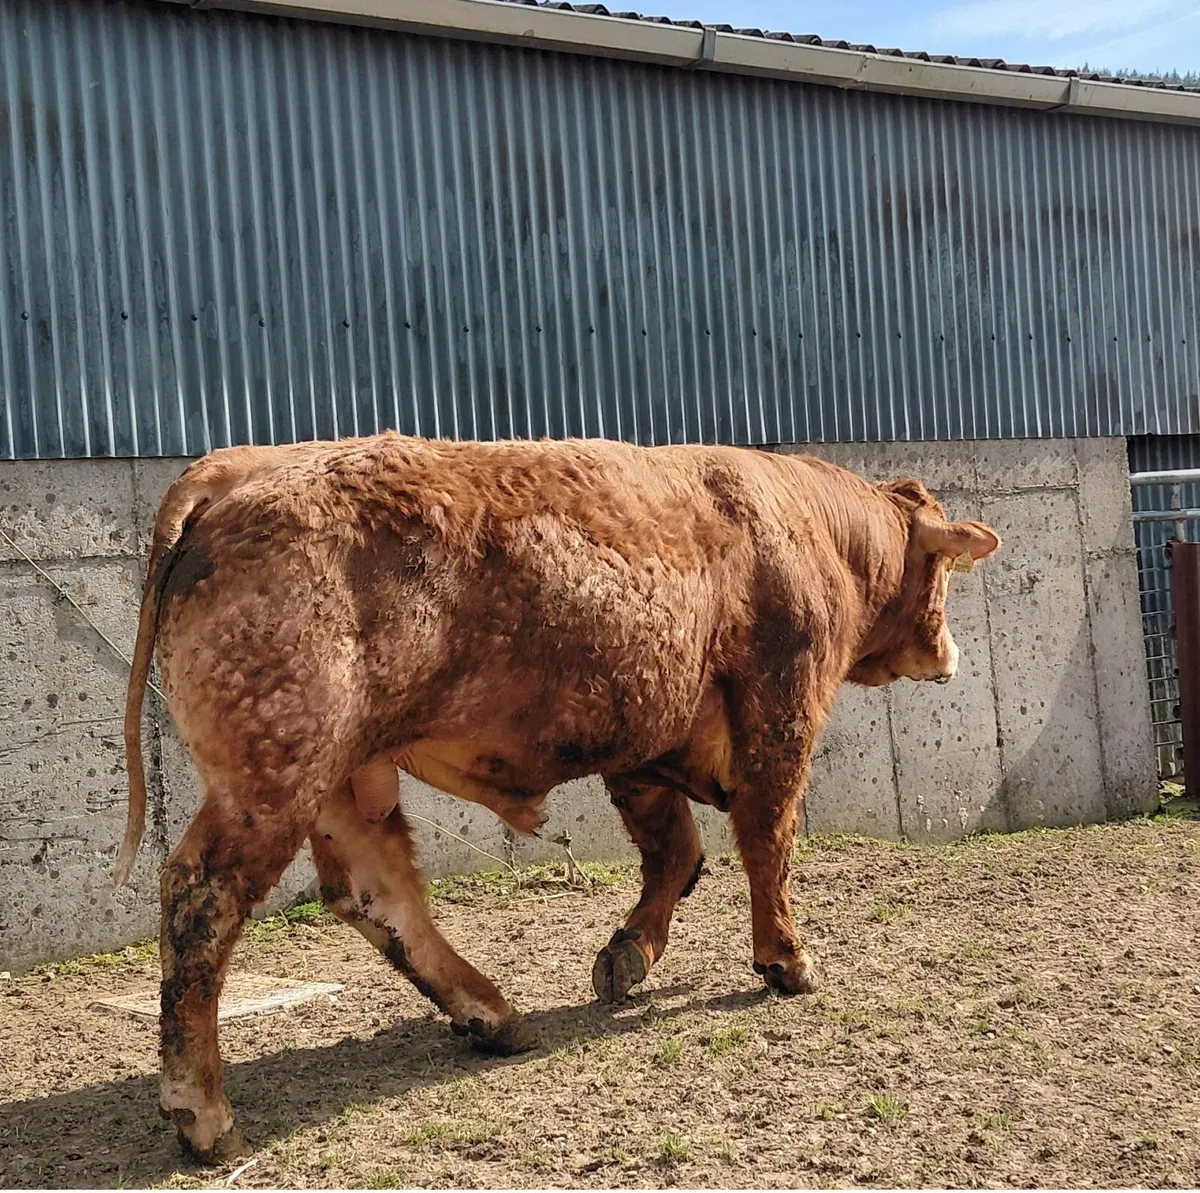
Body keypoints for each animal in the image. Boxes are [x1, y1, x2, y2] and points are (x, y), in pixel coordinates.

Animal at [114, 431, 1000, 1160]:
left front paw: (629, 954)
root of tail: (239, 466)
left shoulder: (645, 742)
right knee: (201, 897)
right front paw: (786, 957)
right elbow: (766, 839)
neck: (810, 527)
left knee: (378, 894)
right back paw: (203, 1113)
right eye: (946, 571)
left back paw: (492, 1015)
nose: (952, 651)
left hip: (340, 777)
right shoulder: (780, 711)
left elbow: (674, 851)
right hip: (273, 771)